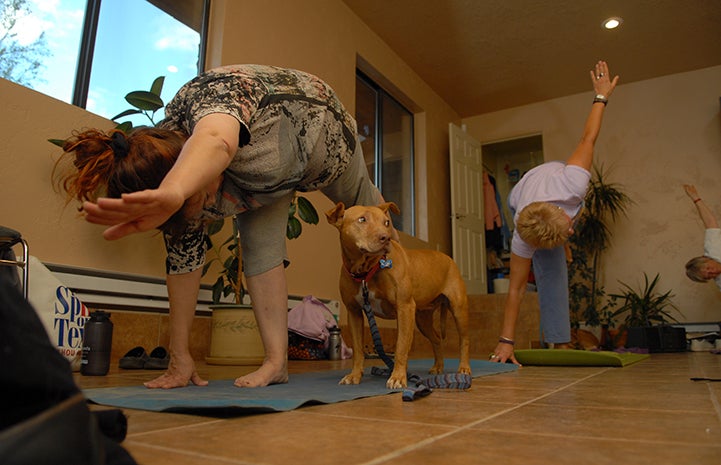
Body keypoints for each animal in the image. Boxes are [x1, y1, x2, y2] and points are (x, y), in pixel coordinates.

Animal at [326, 201, 472, 386]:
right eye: (362, 219)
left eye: (387, 222)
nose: (386, 238)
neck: (366, 271)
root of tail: (448, 258)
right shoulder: (354, 313)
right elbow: (358, 349)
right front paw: (354, 375)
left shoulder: (404, 308)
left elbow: (401, 346)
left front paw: (397, 377)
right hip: (422, 319)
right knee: (437, 339)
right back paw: (438, 367)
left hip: (458, 311)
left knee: (464, 340)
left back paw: (464, 368)